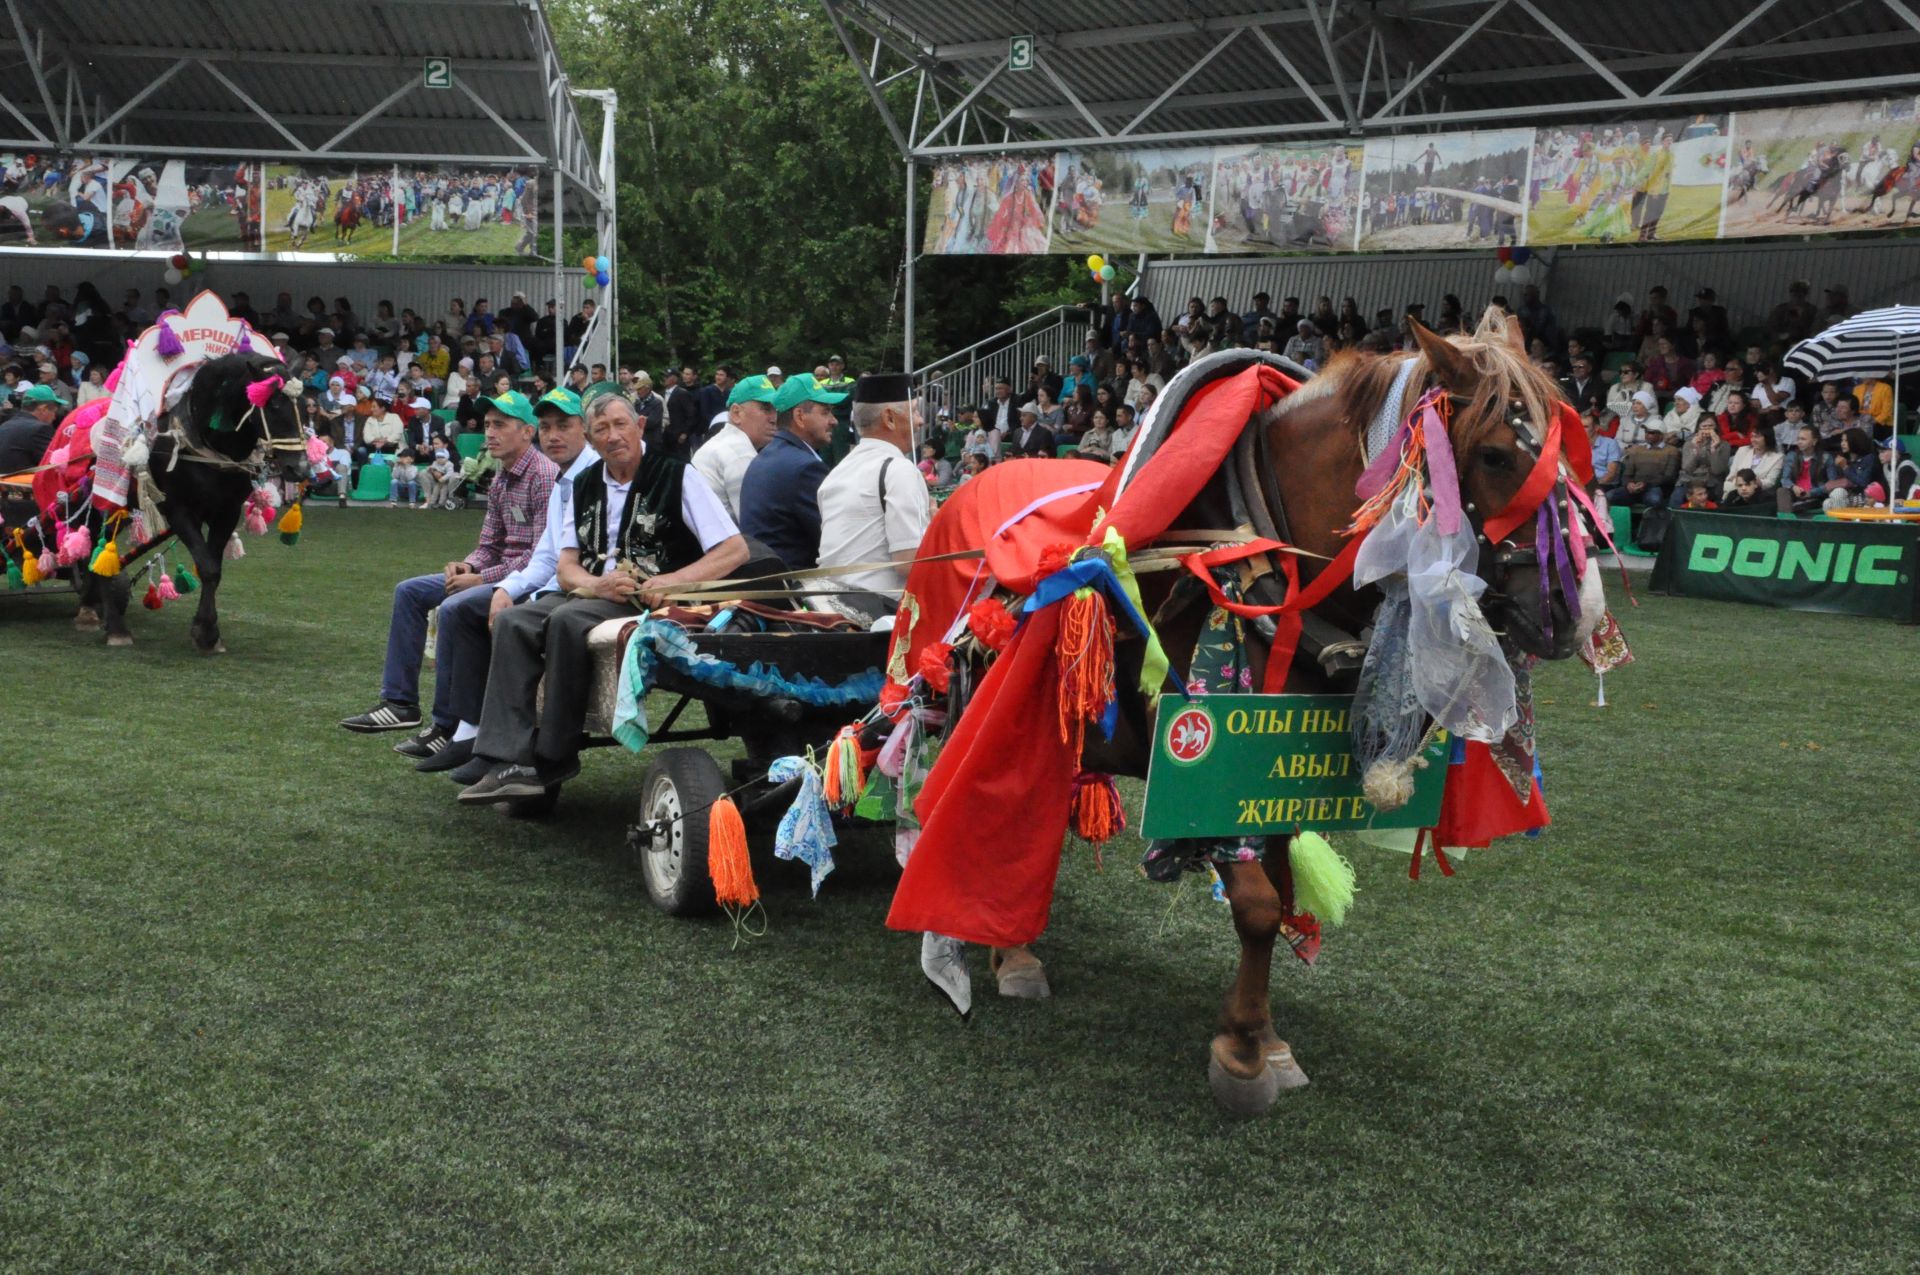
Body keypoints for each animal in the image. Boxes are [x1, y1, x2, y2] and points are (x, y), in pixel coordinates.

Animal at [79, 349, 307, 649]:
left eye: (303, 406)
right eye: (274, 407)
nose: (301, 467)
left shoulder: (226, 512)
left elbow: (214, 568)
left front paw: (208, 631)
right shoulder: (179, 511)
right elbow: (207, 567)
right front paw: (206, 630)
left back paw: (94, 604)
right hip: (103, 501)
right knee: (97, 542)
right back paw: (113, 625)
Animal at [956, 311, 1589, 1113]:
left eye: (1568, 460)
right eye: (1499, 454)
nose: (1568, 612)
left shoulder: (1271, 771)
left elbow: (1282, 892)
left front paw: (1262, 1035)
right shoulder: (1209, 771)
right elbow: (1257, 905)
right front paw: (1243, 1055)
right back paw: (1004, 945)